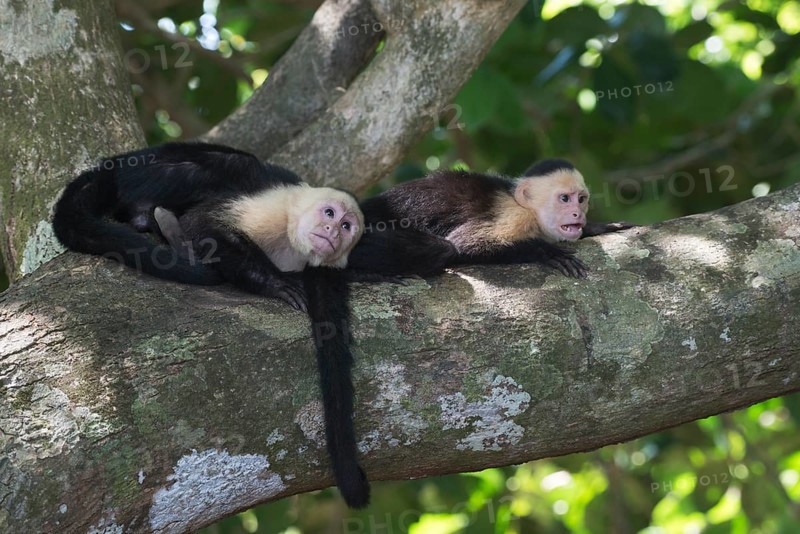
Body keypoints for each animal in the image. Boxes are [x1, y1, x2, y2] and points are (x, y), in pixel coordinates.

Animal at [52, 142, 371, 508]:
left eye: (347, 226)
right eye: (330, 215)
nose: (333, 232)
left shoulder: (322, 268)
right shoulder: (274, 209)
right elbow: (205, 224)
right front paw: (274, 283)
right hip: (138, 174)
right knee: (222, 167)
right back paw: (162, 225)